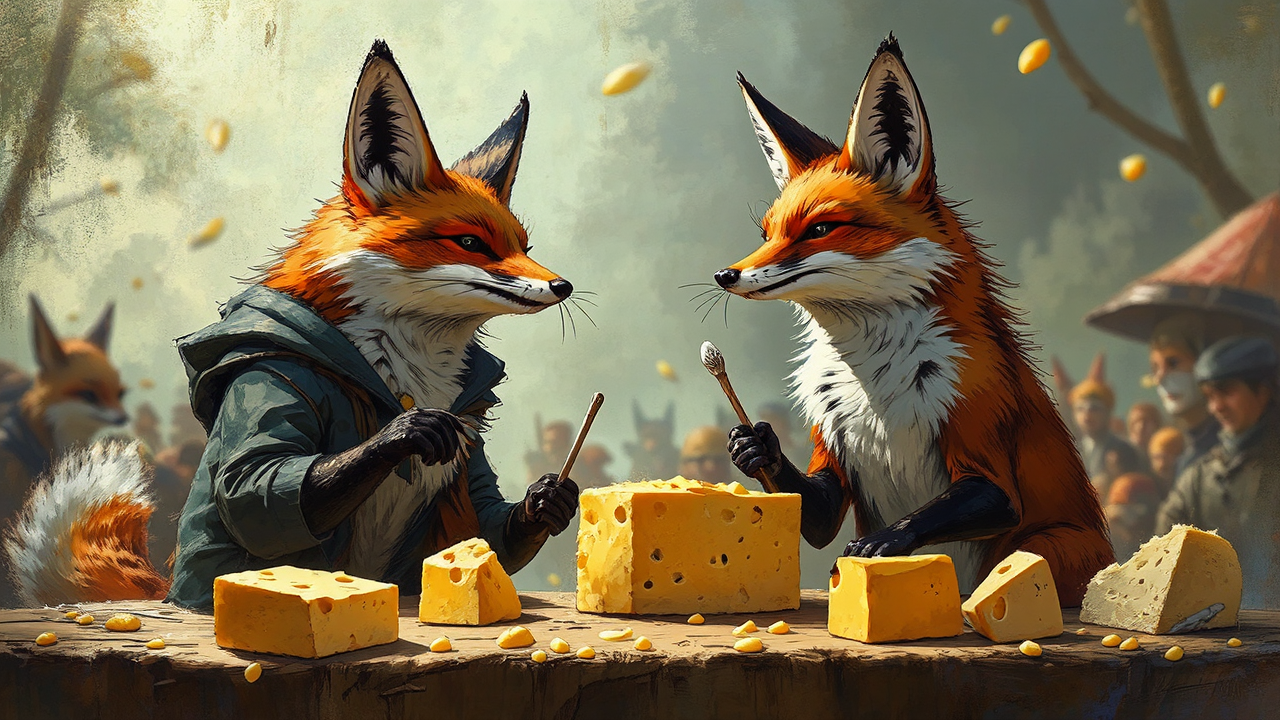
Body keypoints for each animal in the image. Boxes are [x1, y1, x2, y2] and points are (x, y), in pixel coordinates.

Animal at [5, 40, 579, 609]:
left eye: (524, 246)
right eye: (470, 243)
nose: (564, 286)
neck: (406, 372)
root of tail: (168, 594)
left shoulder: (467, 453)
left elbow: (486, 520)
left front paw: (546, 501)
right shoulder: (273, 378)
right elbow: (257, 486)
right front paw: (405, 432)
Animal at [720, 35, 1113, 606]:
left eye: (820, 229)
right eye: (768, 232)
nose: (724, 275)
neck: (873, 385)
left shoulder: (982, 430)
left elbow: (958, 508)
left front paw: (880, 546)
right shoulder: (833, 443)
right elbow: (818, 518)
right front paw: (755, 446)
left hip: (1046, 545)